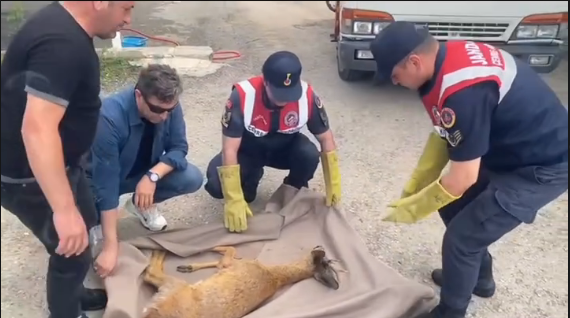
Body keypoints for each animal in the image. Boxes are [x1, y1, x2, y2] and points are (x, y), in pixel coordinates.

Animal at [142, 246, 342, 318]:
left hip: (174, 287)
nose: (320, 247)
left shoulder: (231, 265)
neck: (275, 275)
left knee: (150, 273)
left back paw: (159, 250)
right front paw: (189, 266)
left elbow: (229, 250)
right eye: (329, 262)